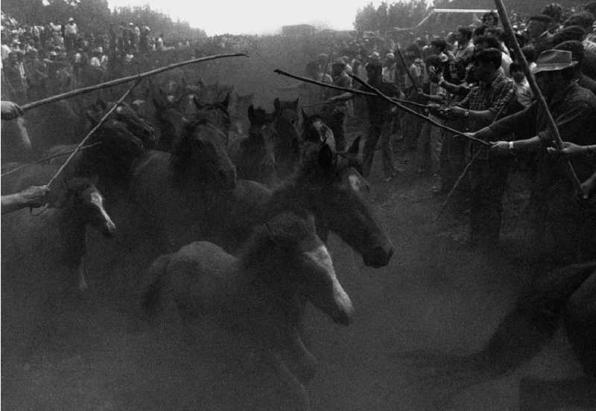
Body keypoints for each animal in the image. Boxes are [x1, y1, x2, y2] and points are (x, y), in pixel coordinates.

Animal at [141, 211, 354, 410]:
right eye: (308, 268)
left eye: (330, 261)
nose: (347, 312)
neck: (263, 291)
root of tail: (175, 254)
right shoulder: (263, 344)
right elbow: (293, 385)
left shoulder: (287, 332)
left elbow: (309, 366)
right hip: (187, 310)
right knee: (190, 333)